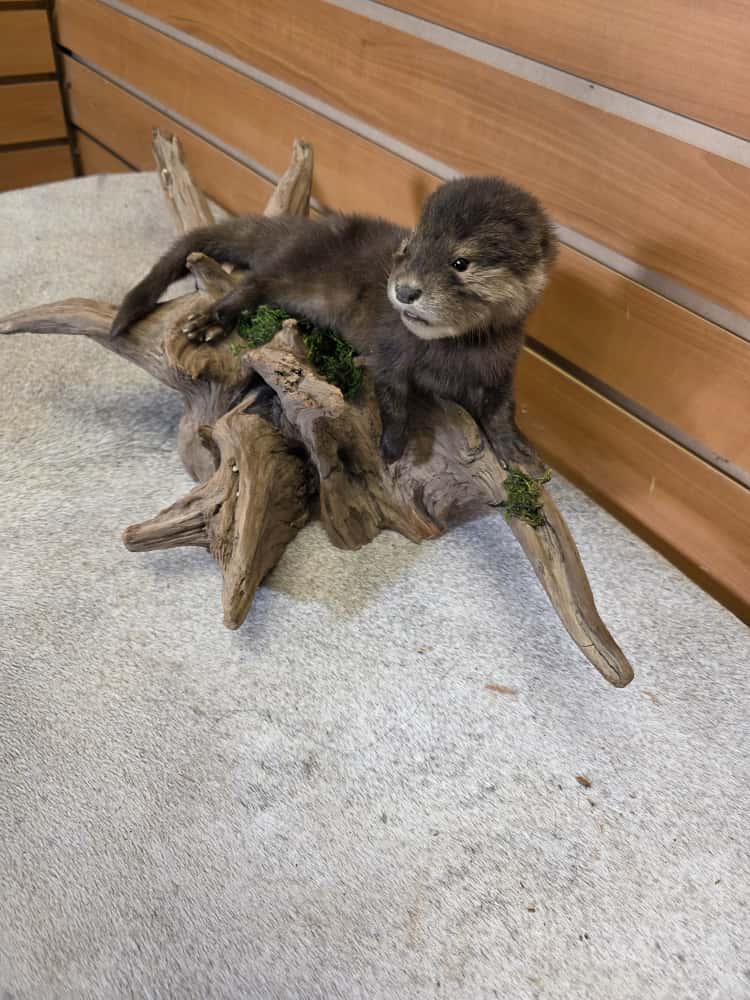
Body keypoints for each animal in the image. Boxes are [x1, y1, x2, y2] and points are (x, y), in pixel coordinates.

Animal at [111, 176, 557, 464]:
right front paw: (392, 446)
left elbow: (501, 408)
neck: (452, 359)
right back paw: (208, 321)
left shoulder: (503, 364)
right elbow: (392, 398)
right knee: (251, 285)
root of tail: (300, 230)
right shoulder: (390, 351)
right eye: (408, 248)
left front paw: (516, 447)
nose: (405, 290)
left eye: (460, 262)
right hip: (288, 272)